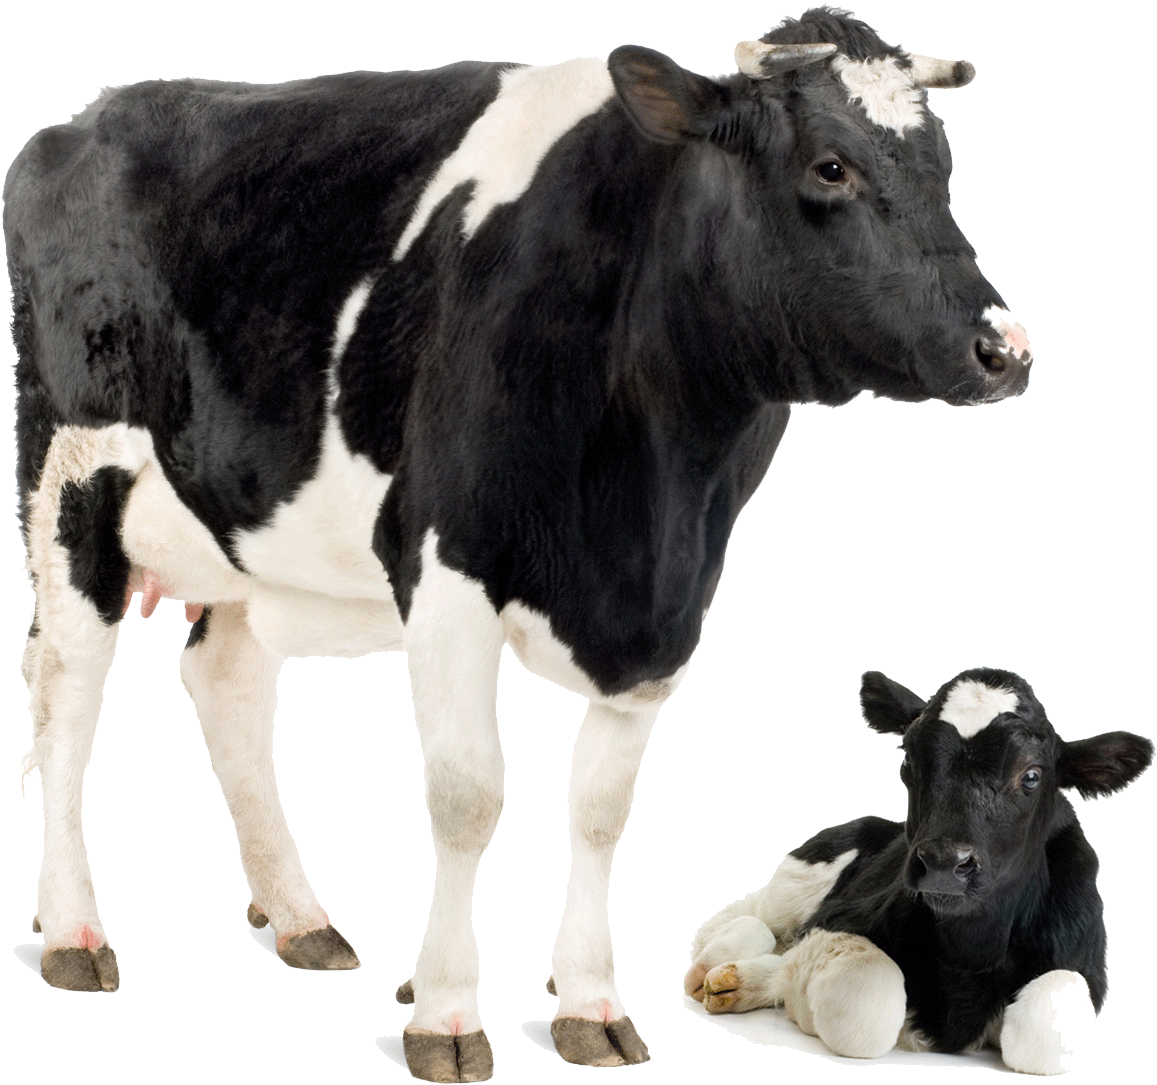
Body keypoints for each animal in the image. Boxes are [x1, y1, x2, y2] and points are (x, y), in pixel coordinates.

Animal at [6, 6, 1034, 1081]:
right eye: (829, 166)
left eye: (942, 165)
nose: (1002, 347)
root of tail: (93, 115)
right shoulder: (447, 565)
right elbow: (468, 793)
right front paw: (446, 1012)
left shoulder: (669, 607)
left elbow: (599, 808)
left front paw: (587, 1001)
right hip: (70, 484)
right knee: (68, 695)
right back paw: (74, 932)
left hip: (247, 531)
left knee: (227, 681)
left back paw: (298, 917)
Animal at [684, 667, 1154, 1074]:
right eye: (909, 758)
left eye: (1033, 775)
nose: (944, 863)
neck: (971, 950)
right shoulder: (838, 919)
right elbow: (869, 1004)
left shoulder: (1086, 967)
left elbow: (1041, 1028)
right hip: (807, 869)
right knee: (752, 918)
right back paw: (718, 965)